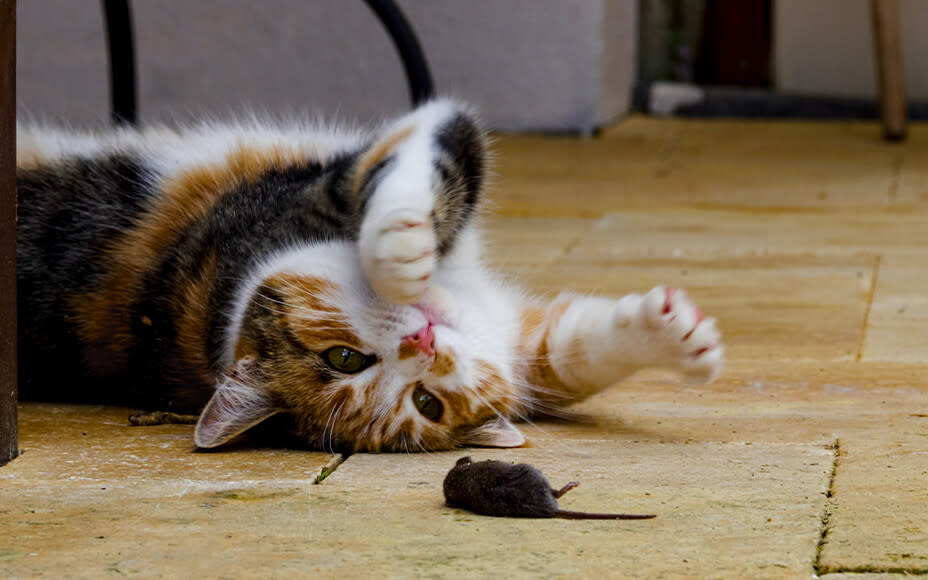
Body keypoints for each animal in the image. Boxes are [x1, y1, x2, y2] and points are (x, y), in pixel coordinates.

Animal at [16, 101, 724, 454]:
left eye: (427, 401)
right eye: (346, 359)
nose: (424, 345)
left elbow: (572, 353)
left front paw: (678, 336)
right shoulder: (333, 180)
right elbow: (424, 150)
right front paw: (403, 251)